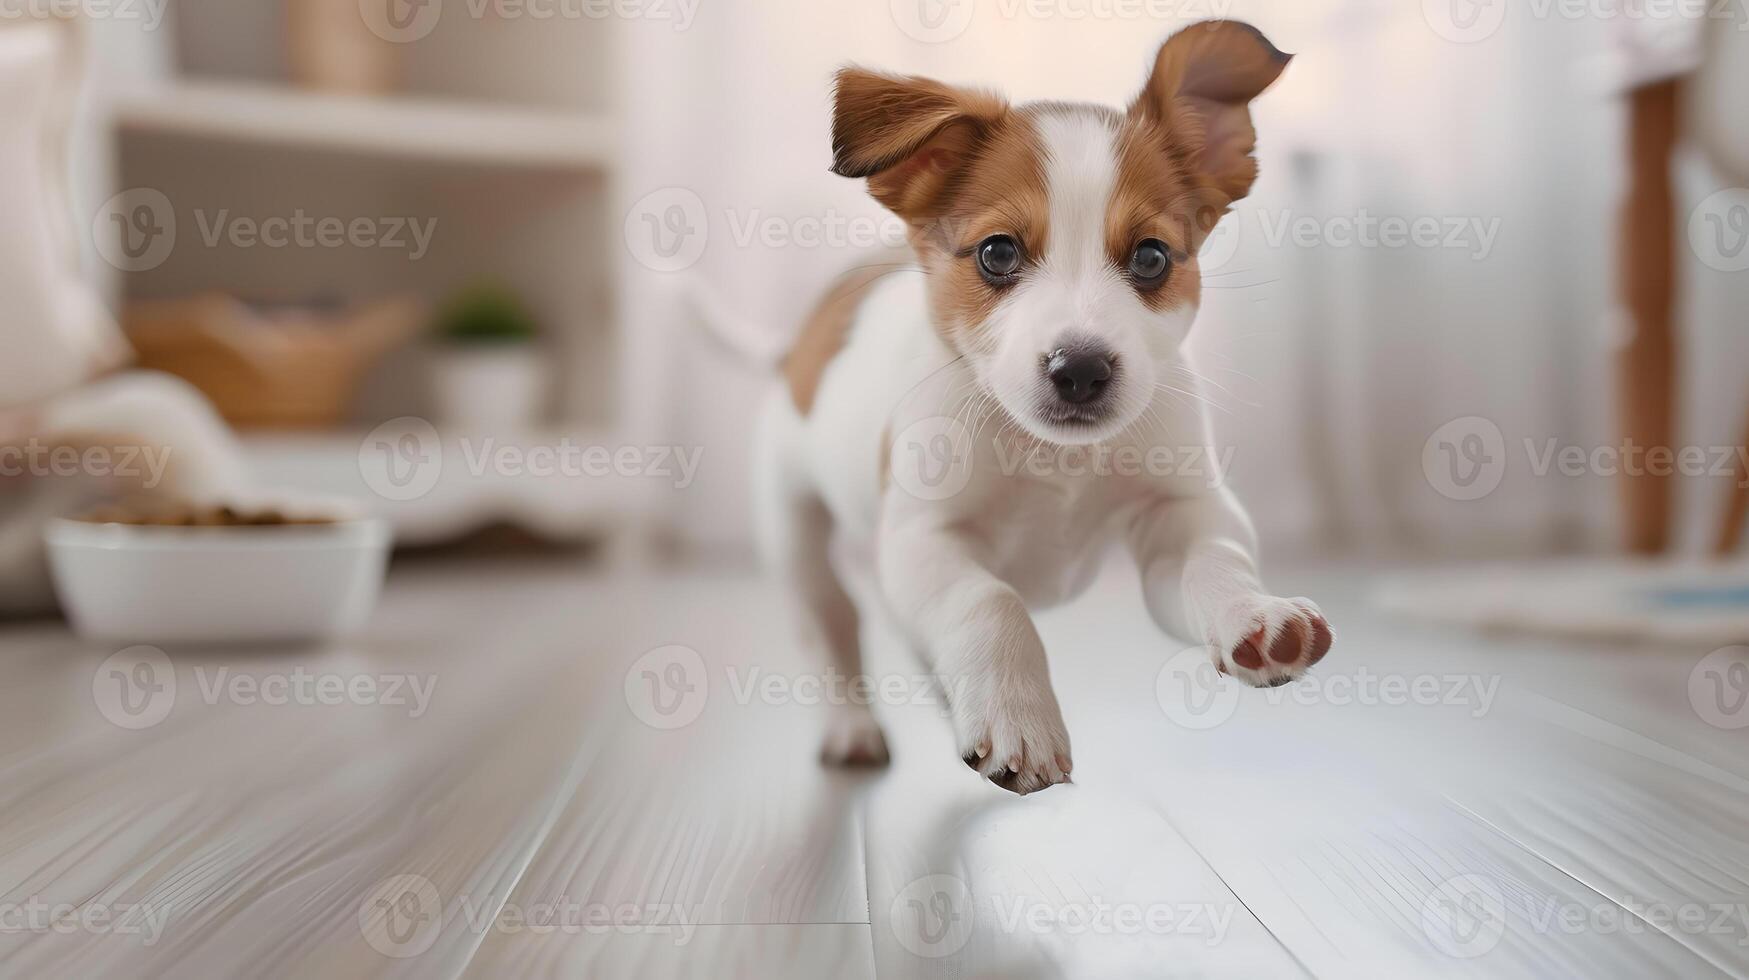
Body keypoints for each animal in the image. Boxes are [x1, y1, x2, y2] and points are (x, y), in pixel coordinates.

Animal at [748, 21, 1322, 798]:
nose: (1080, 370)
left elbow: (1212, 560)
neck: (1056, 460)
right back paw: (852, 727)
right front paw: (1020, 720)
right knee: (832, 626)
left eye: (1150, 258)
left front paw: (1253, 614)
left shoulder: (1179, 516)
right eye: (997, 253)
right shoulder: (925, 542)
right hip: (797, 532)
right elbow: (991, 602)